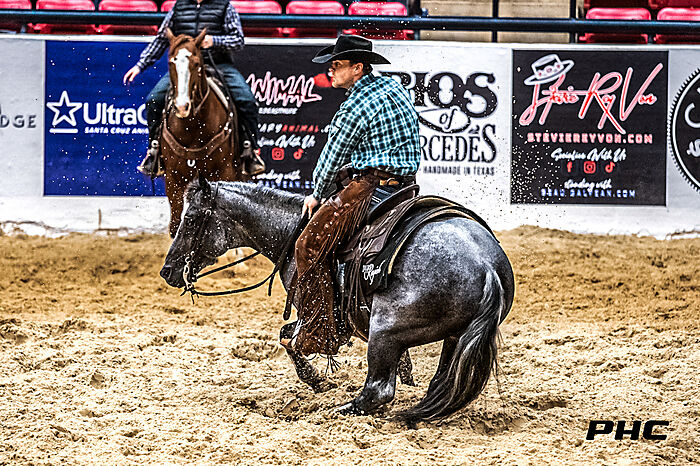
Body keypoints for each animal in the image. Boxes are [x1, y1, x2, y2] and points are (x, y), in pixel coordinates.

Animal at [159, 179, 515, 422]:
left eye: (191, 219)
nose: (168, 271)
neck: (292, 232)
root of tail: (486, 266)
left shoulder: (314, 313)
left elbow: (289, 338)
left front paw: (316, 381)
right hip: (453, 337)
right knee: (438, 383)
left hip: (386, 329)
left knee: (378, 390)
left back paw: (340, 410)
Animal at [161, 28, 246, 237]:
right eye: (171, 62)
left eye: (196, 64)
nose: (182, 106)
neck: (193, 129)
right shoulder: (173, 180)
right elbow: (175, 225)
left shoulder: (224, 173)